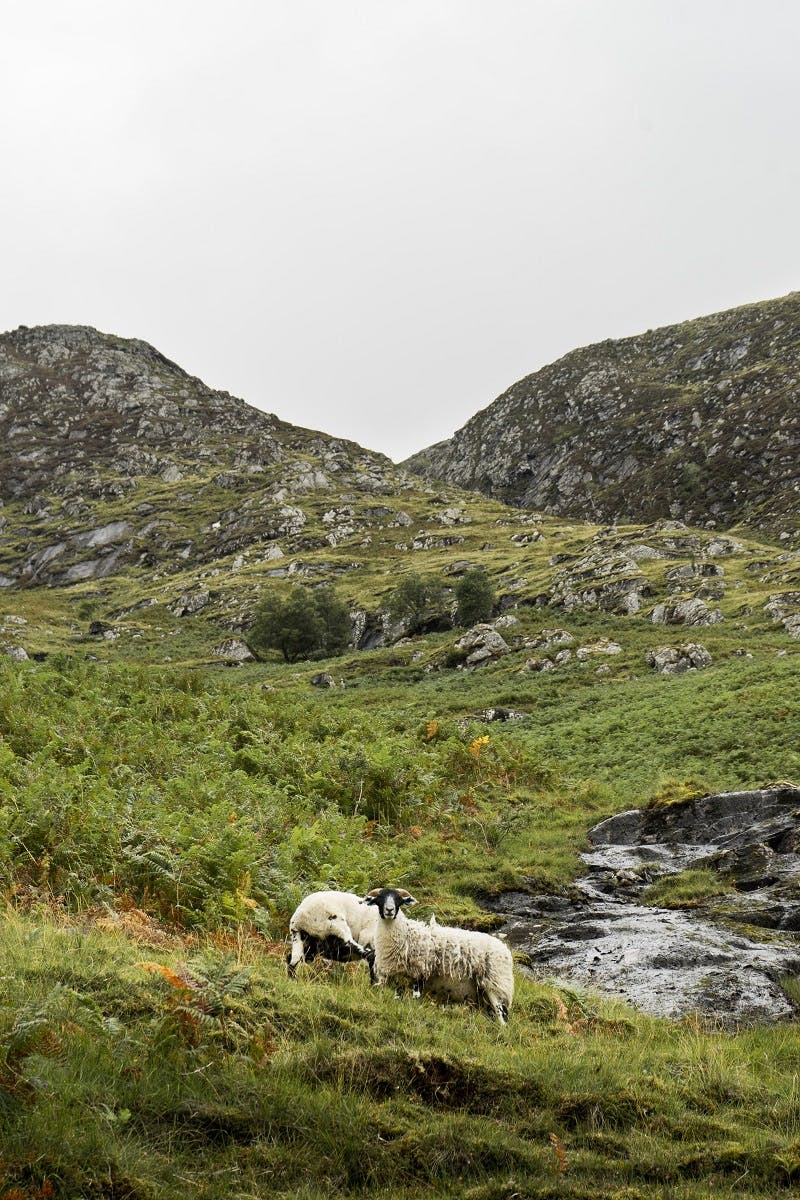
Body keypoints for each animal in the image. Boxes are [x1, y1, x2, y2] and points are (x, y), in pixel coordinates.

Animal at [362, 892, 513, 1022]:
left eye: (398, 900)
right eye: (379, 899)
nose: (389, 910)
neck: (405, 933)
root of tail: (505, 950)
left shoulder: (420, 971)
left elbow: (416, 995)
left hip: (495, 985)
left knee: (503, 1015)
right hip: (483, 995)